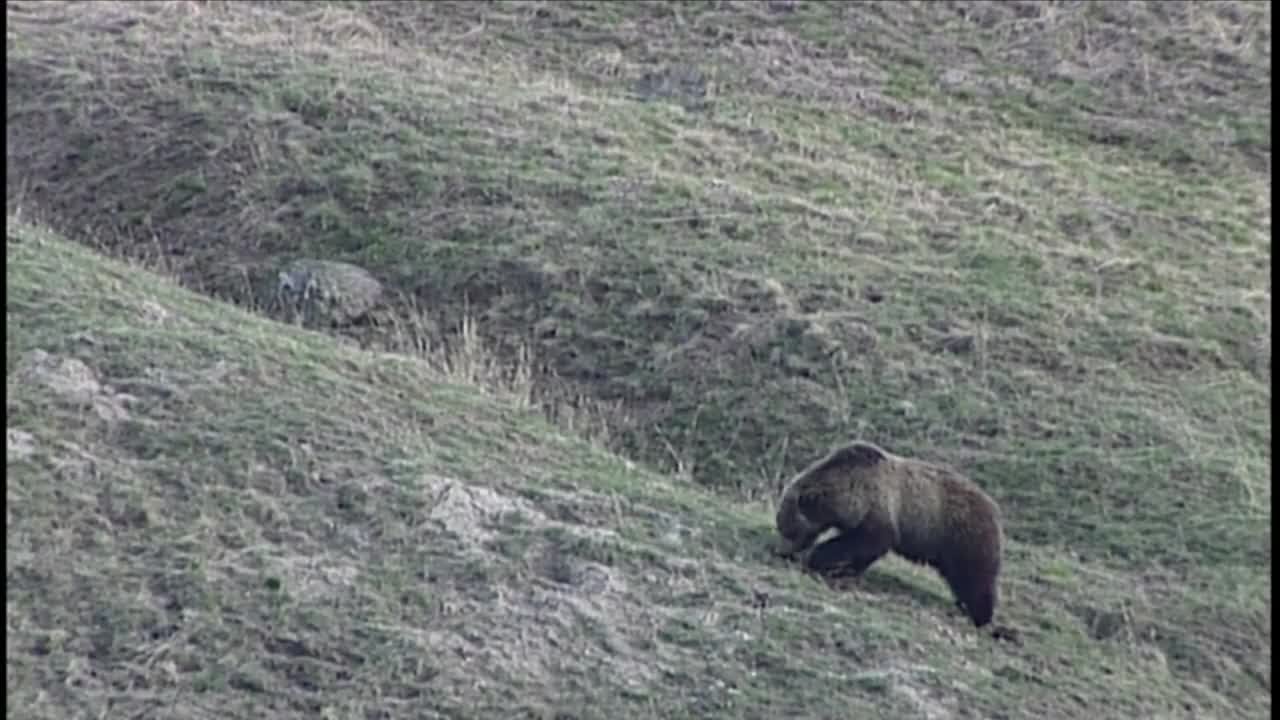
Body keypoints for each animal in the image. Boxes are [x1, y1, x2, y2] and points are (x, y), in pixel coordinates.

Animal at [774, 440, 1004, 628]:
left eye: (790, 530)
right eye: (781, 527)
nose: (782, 552)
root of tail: (994, 509)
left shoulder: (878, 510)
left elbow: (866, 543)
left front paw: (819, 558)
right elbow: (862, 550)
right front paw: (844, 569)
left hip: (963, 536)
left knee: (975, 577)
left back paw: (981, 616)